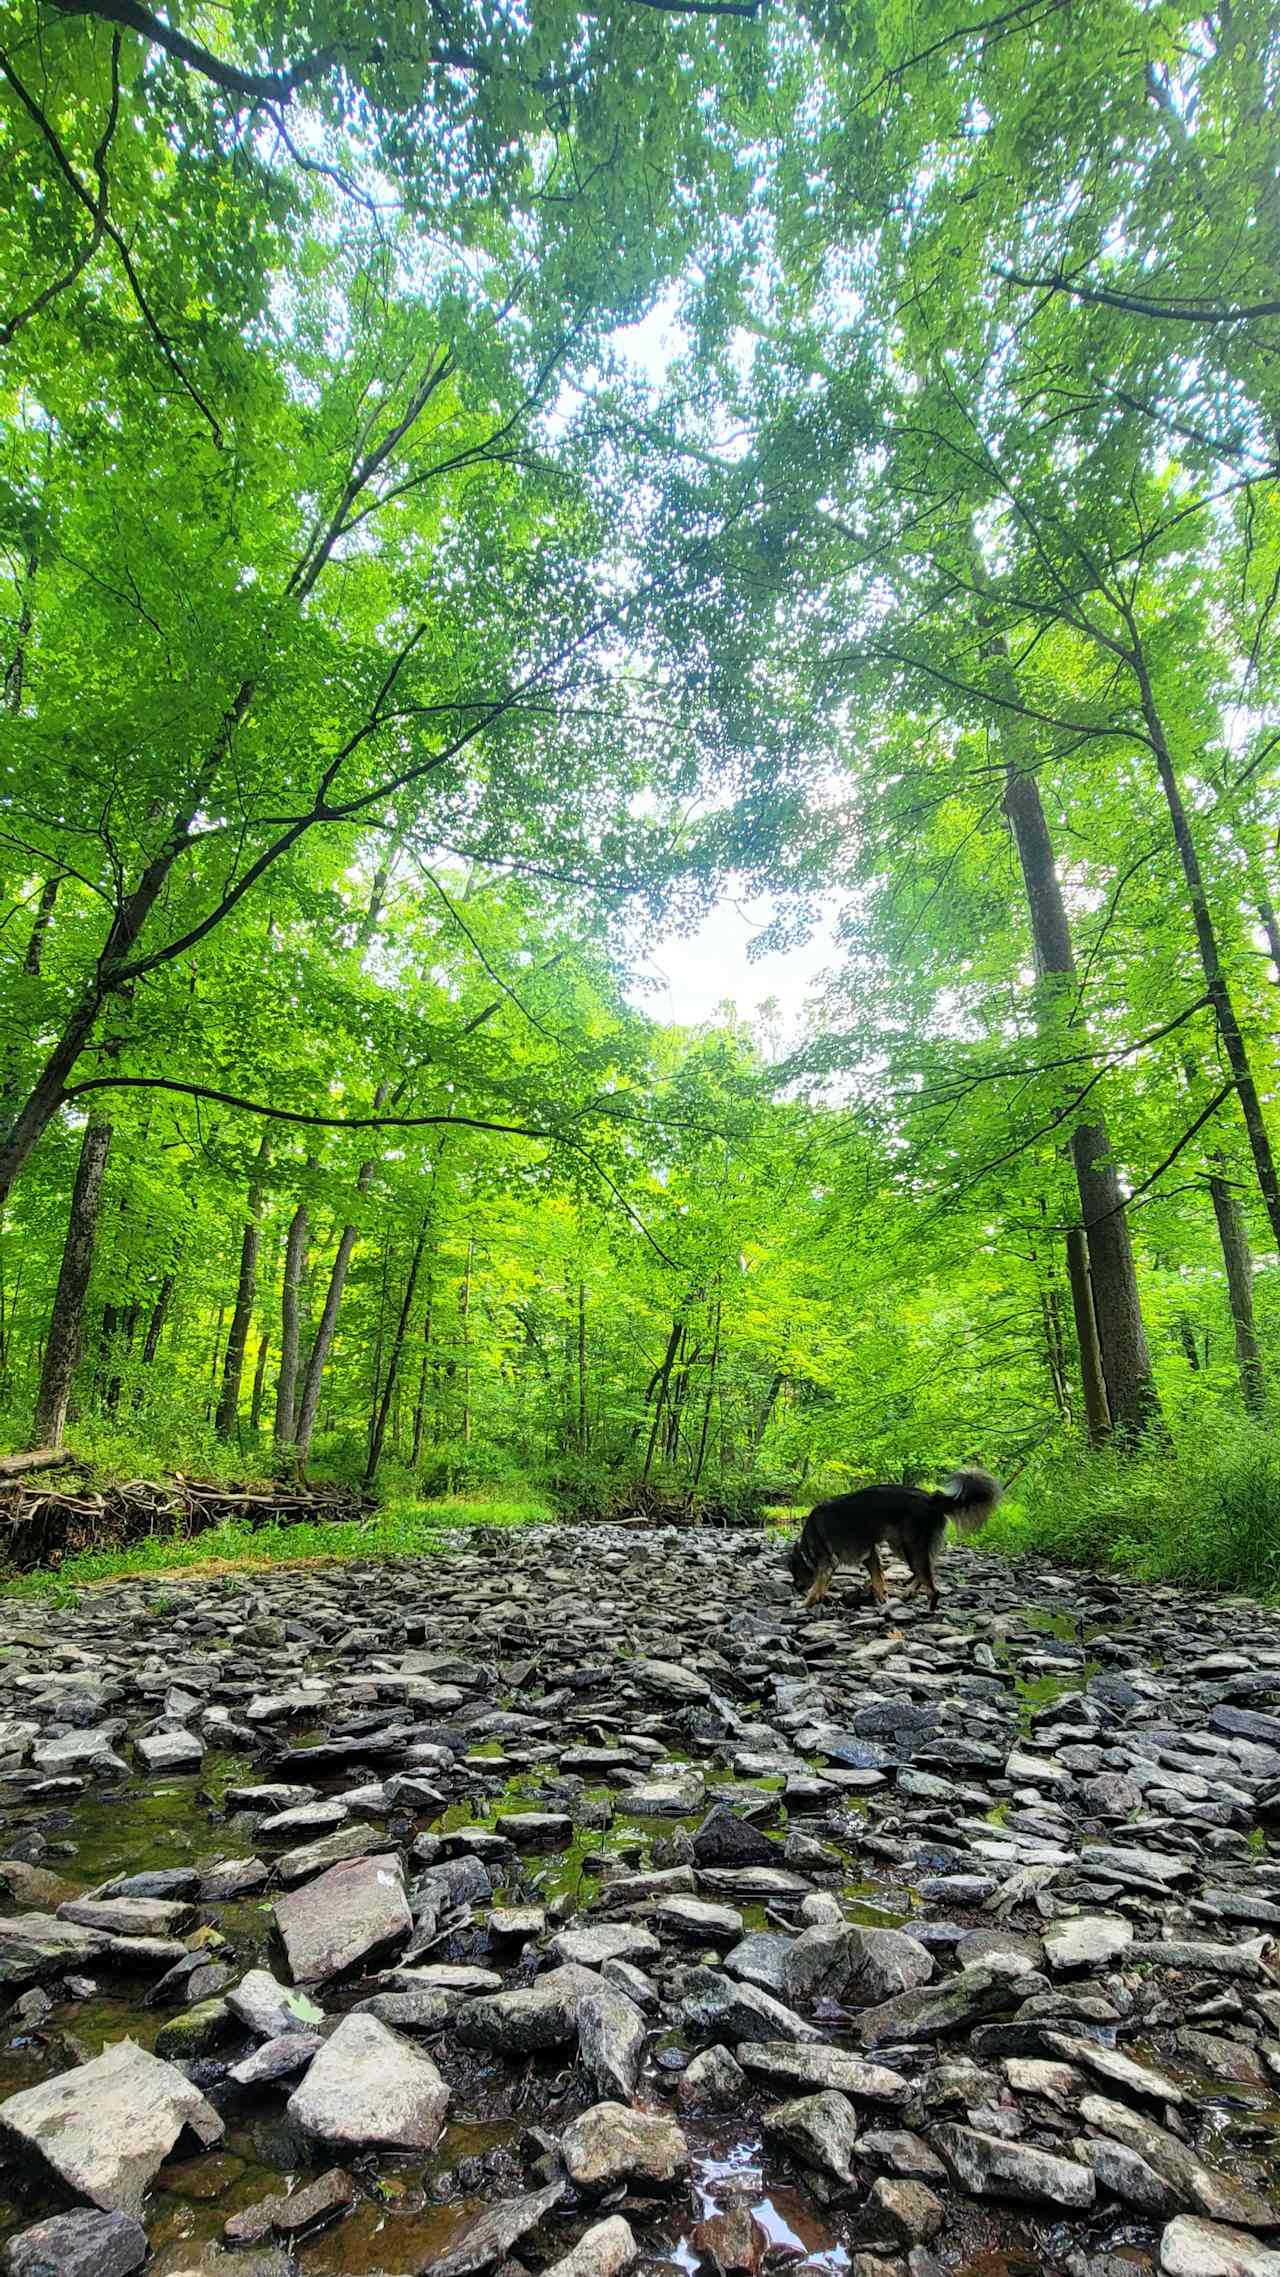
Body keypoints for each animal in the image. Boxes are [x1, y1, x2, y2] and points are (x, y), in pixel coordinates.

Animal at [783, 1466, 1002, 1612]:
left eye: (794, 1570)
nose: (796, 1588)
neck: (806, 1544)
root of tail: (931, 1499)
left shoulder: (828, 1561)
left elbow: (817, 1586)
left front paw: (805, 1603)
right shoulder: (870, 1555)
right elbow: (878, 1580)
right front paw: (883, 1600)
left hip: (910, 1547)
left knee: (932, 1587)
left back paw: (929, 1611)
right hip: (901, 1545)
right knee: (926, 1571)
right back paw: (908, 1593)